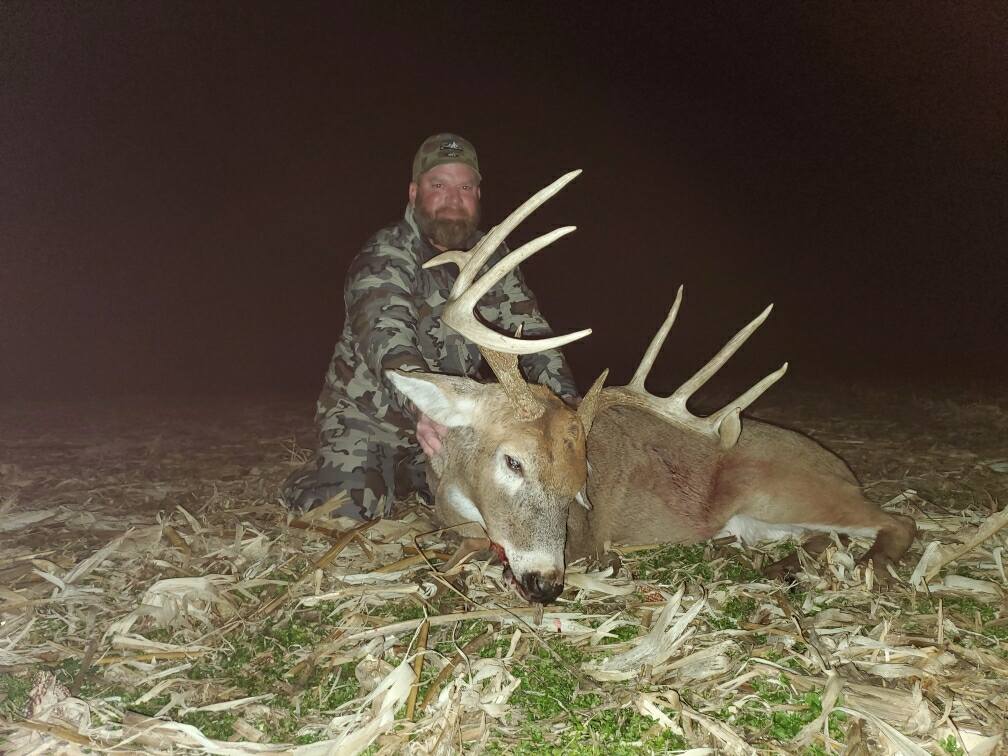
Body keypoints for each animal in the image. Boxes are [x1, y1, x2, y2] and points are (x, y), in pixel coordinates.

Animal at [388, 171, 917, 605]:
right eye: (513, 461)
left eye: (580, 487)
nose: (546, 585)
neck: (457, 496)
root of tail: (844, 469)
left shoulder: (582, 540)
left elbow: (479, 546)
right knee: (822, 537)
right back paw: (782, 565)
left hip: (789, 492)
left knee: (900, 521)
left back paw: (869, 566)